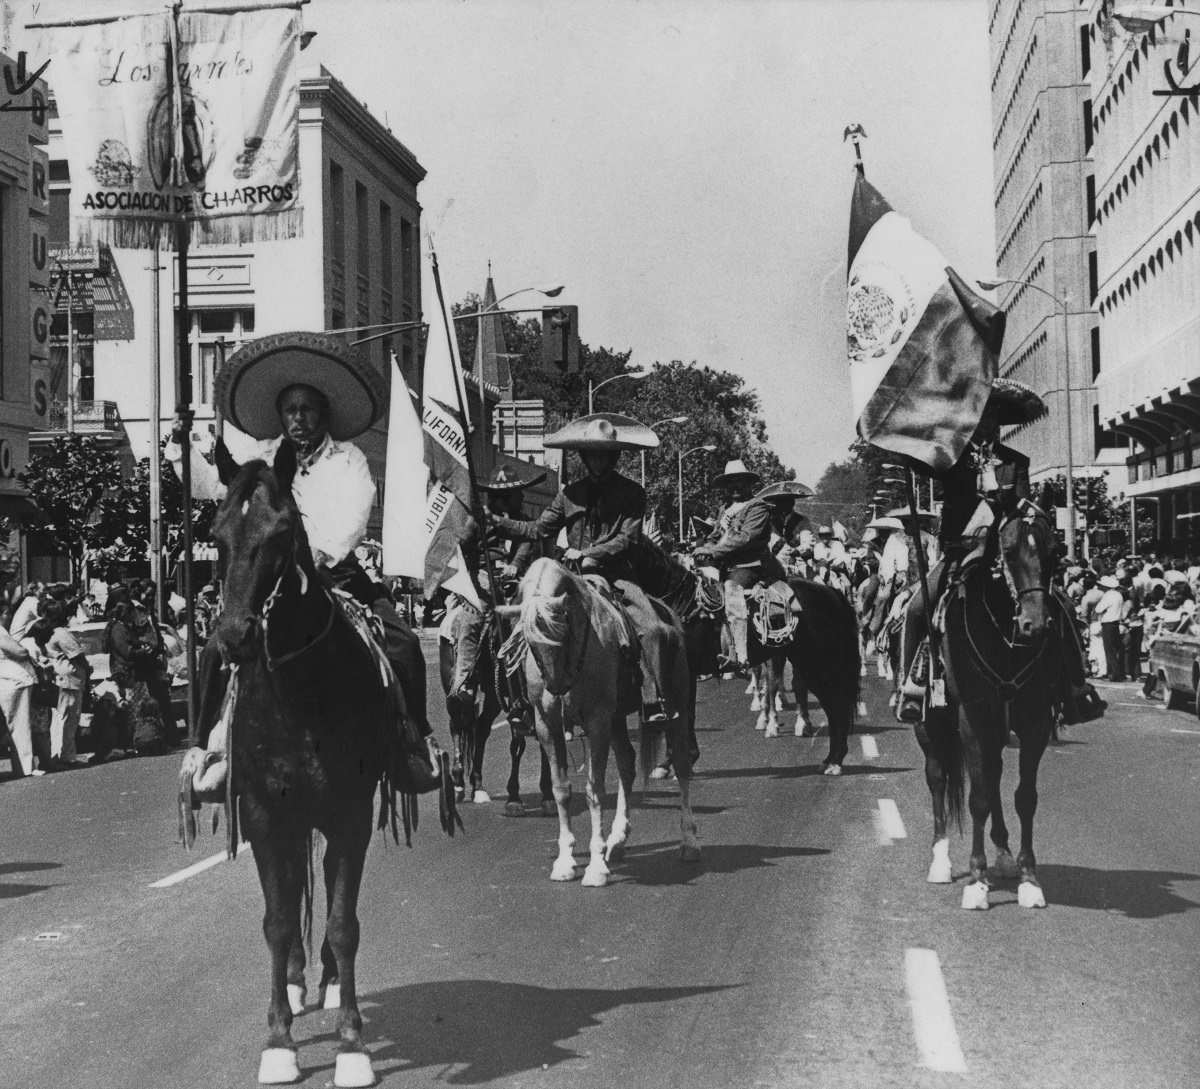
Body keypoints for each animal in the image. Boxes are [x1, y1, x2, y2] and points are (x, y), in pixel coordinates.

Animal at [206, 443, 408, 1089]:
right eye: (216, 534)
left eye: (281, 532)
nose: (234, 637)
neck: (299, 690)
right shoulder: (264, 812)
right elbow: (275, 919)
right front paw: (278, 1042)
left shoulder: (350, 813)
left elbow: (344, 925)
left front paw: (351, 1045)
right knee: (294, 885)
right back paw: (296, 982)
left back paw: (325, 980)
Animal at [916, 501, 1060, 911]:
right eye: (1008, 552)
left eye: (1054, 552)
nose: (1035, 625)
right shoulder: (974, 721)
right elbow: (977, 799)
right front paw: (976, 881)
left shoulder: (1034, 725)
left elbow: (1024, 797)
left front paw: (1029, 878)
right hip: (930, 726)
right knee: (938, 778)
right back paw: (941, 861)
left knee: (993, 776)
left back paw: (1005, 855)